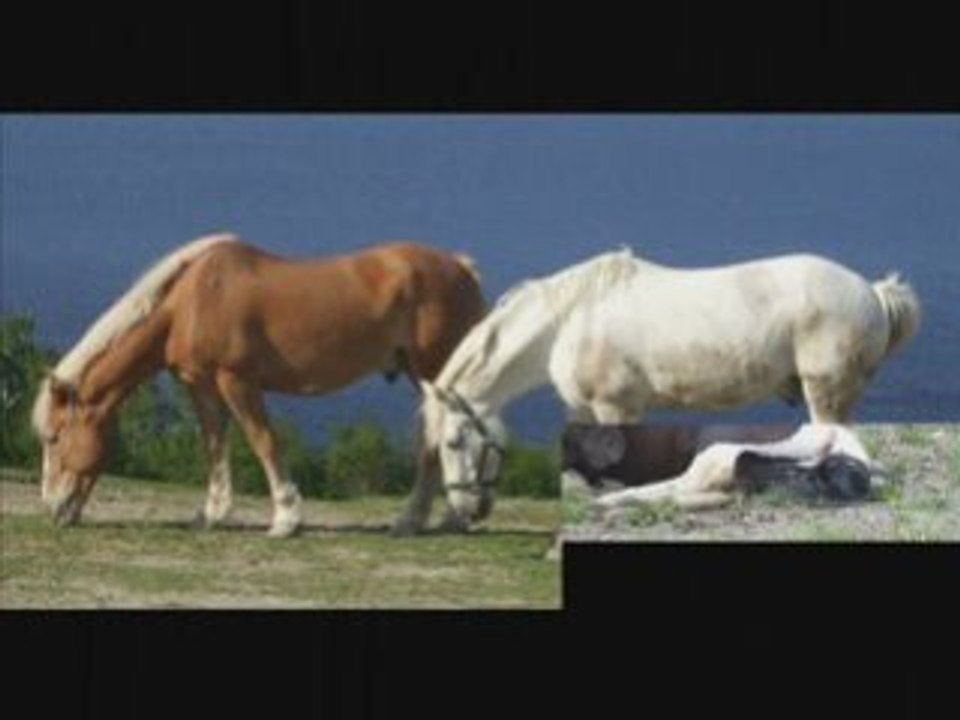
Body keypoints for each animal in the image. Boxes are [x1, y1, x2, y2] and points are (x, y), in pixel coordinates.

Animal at [31, 234, 487, 536]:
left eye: (55, 437)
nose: (52, 508)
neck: (190, 302)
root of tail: (461, 266)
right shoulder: (201, 387)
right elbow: (214, 446)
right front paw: (212, 514)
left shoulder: (237, 381)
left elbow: (263, 441)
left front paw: (286, 518)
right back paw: (437, 517)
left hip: (433, 372)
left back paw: (428, 518)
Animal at [407, 247, 920, 528]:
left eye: (453, 442)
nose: (469, 509)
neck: (569, 321)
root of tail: (873, 292)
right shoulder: (585, 413)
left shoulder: (617, 408)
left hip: (826, 394)